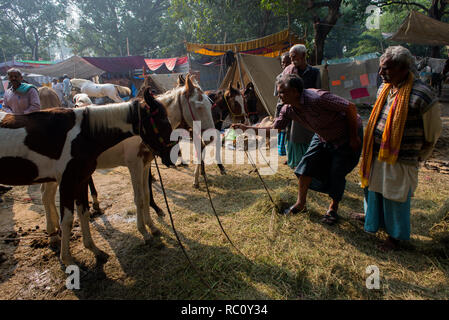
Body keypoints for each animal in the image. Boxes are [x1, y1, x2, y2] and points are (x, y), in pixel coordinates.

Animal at [0, 89, 174, 266]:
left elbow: (84, 212)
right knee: (46, 197)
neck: (83, 135)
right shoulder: (70, 181)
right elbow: (68, 219)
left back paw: (54, 232)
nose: (170, 157)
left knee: (46, 196)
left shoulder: (82, 179)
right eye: (163, 122)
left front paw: (95, 250)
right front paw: (68, 260)